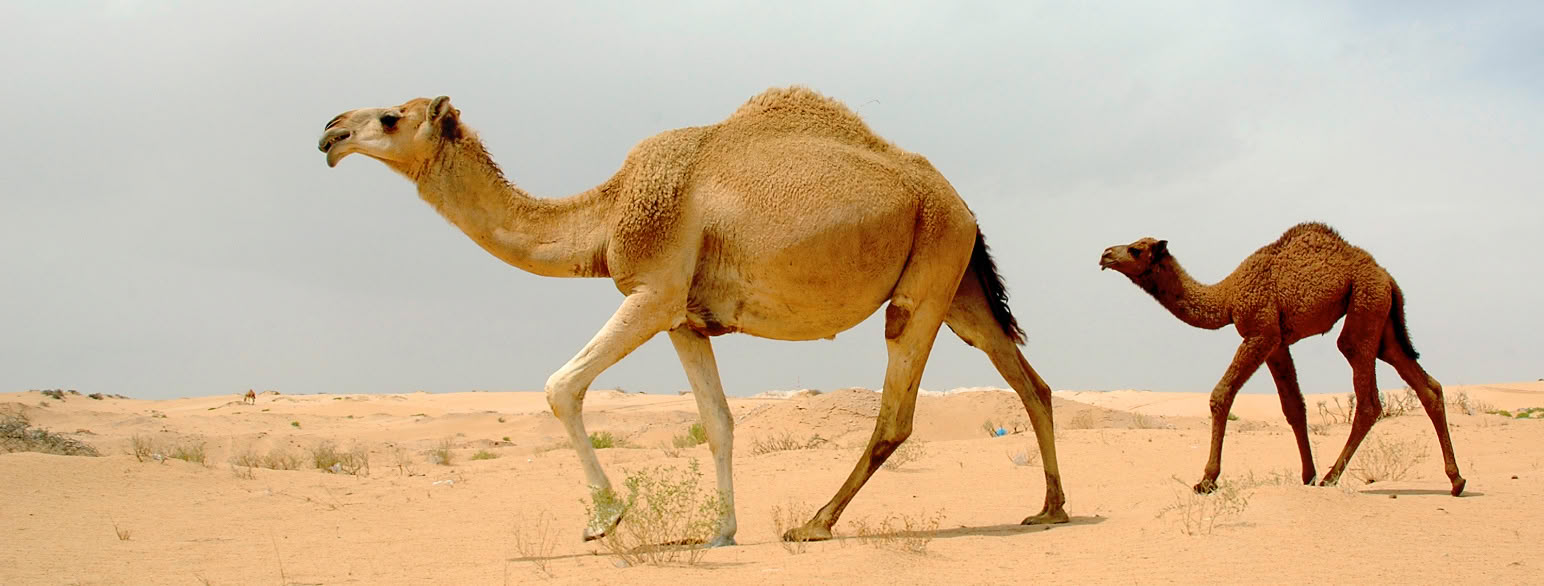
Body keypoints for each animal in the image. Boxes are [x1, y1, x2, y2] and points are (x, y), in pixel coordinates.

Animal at [319, 87, 1068, 545]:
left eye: (390, 117)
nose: (329, 130)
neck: (608, 212)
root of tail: (960, 200)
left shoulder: (651, 291)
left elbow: (561, 386)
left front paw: (606, 520)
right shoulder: (683, 317)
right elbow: (719, 423)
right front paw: (721, 532)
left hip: (928, 268)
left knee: (897, 411)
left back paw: (815, 523)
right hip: (957, 278)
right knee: (1028, 380)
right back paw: (1050, 509)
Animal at [1099, 222, 1457, 496]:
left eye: (1136, 249)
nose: (1105, 254)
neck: (1227, 296)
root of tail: (1387, 276)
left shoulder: (1260, 331)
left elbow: (1221, 395)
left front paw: (1206, 481)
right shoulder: (1277, 343)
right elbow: (1293, 406)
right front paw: (1307, 476)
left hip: (1365, 303)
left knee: (1365, 390)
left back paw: (1332, 478)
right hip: (1382, 319)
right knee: (1425, 383)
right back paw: (1457, 480)